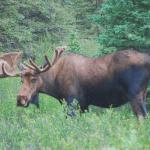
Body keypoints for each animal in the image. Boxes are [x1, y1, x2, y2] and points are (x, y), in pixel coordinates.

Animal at [2, 48, 150, 119]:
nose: (20, 99)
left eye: (34, 79)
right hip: (142, 93)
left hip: (134, 94)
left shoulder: (71, 101)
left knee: (142, 116)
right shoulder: (84, 105)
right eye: (21, 80)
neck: (54, 85)